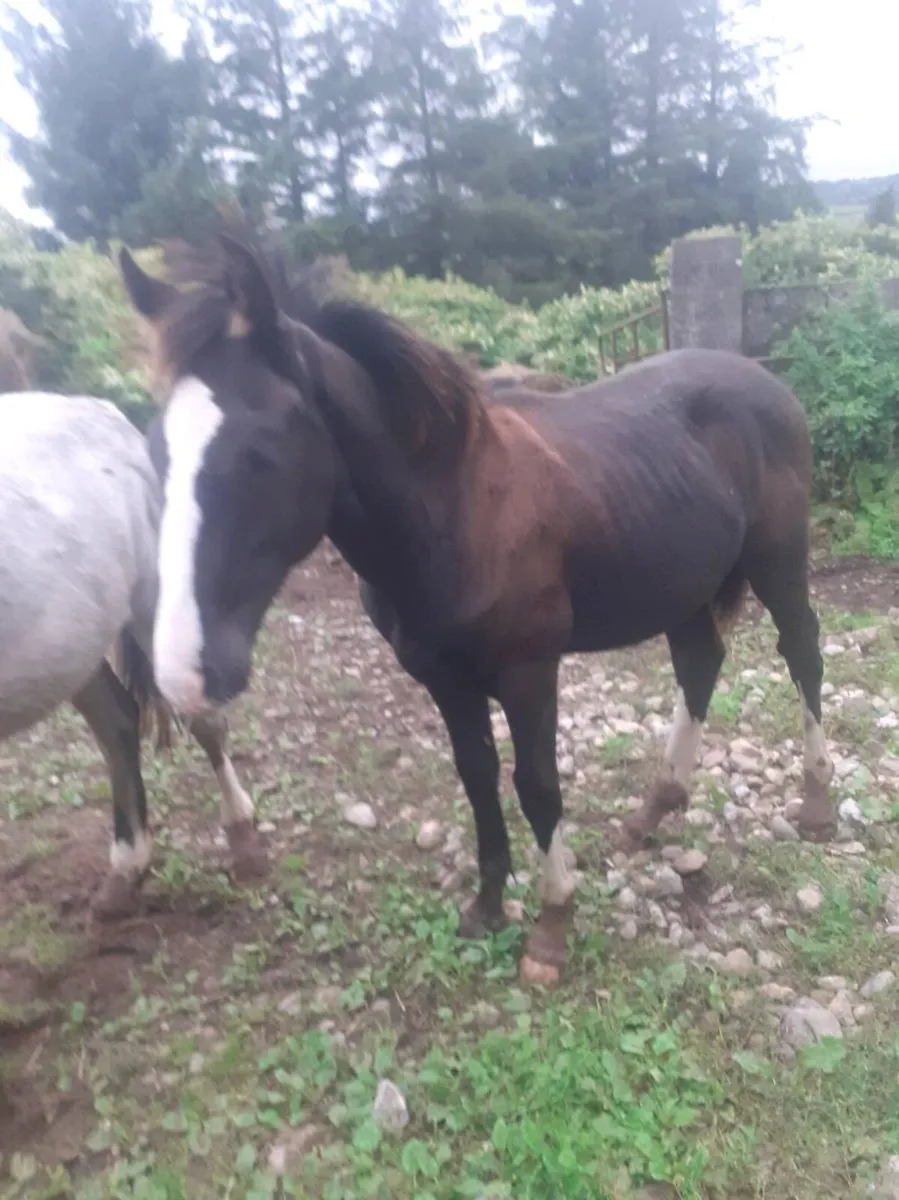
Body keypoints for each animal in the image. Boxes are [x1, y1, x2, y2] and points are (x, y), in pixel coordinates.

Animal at [0, 390, 267, 918]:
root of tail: (102, 411)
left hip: (153, 596)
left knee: (202, 720)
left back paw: (242, 836)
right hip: (72, 643)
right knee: (117, 720)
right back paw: (127, 869)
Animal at [118, 231, 836, 985]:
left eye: (258, 453)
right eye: (156, 451)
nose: (185, 673)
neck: (451, 511)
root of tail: (764, 381)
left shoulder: (529, 672)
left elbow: (537, 786)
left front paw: (551, 927)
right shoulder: (442, 677)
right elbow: (477, 778)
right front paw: (488, 906)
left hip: (778, 563)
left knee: (801, 655)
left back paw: (816, 802)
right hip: (683, 583)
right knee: (700, 664)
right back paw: (654, 810)